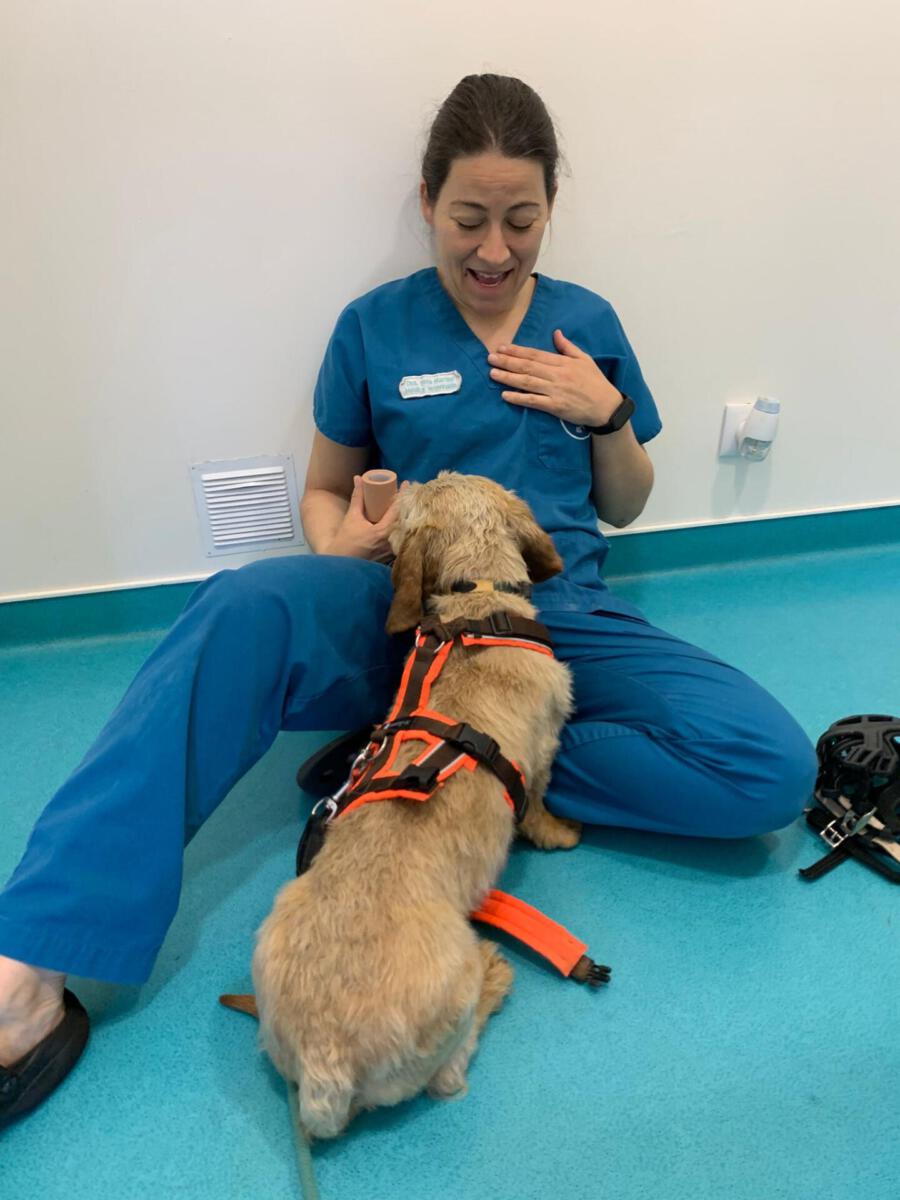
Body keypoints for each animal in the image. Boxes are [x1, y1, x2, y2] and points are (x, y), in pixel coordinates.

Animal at [251, 471, 580, 1140]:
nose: (398, 478)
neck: (478, 603)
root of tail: (325, 1065)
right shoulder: (546, 744)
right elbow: (539, 804)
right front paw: (558, 832)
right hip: (452, 1000)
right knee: (449, 1078)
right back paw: (494, 978)